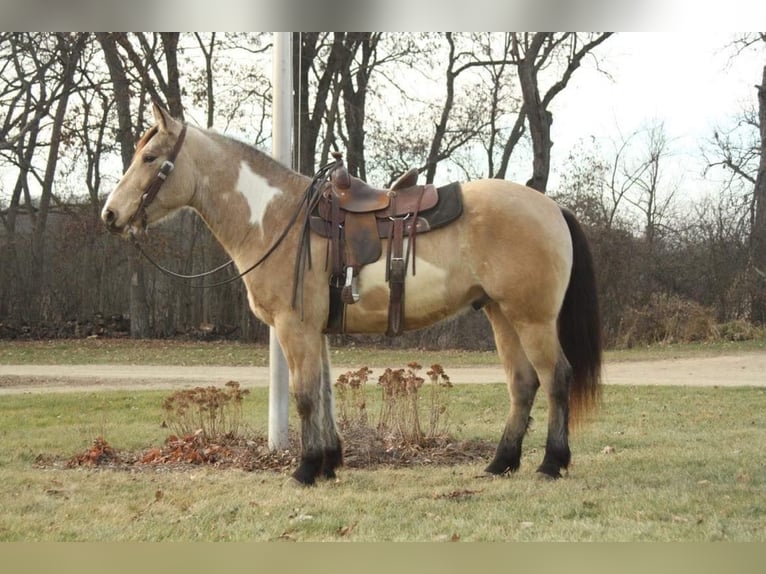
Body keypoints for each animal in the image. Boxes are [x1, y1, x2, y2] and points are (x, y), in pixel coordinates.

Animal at [102, 104, 604, 486]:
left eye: (150, 157)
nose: (110, 215)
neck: (275, 219)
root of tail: (551, 206)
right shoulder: (315, 330)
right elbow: (324, 394)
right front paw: (328, 462)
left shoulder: (295, 327)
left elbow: (304, 395)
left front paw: (306, 469)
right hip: (501, 314)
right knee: (523, 384)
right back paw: (501, 462)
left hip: (532, 318)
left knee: (556, 378)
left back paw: (551, 463)